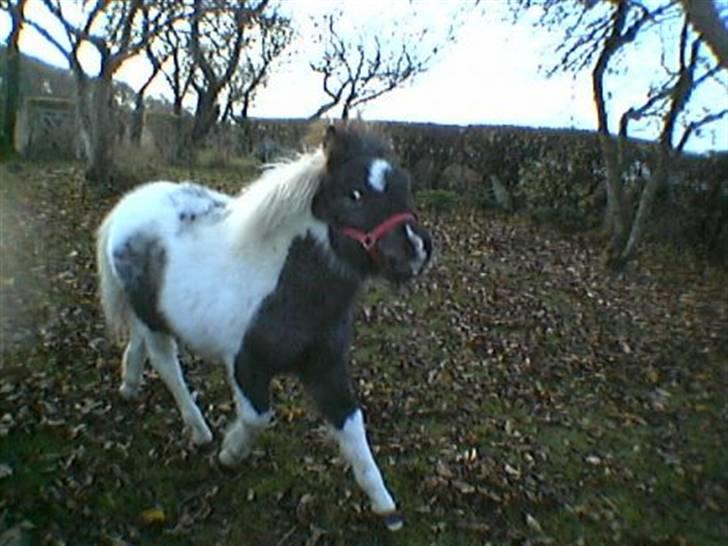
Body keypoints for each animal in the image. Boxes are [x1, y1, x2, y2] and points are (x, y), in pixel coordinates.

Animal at [96, 125, 432, 530]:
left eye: (405, 186)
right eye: (355, 193)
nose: (416, 250)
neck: (286, 285)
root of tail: (126, 206)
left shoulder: (326, 368)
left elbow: (353, 428)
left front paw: (386, 507)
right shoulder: (245, 364)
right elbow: (257, 417)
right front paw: (229, 454)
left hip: (150, 312)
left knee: (139, 344)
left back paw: (130, 387)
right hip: (151, 318)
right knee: (165, 363)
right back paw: (200, 431)